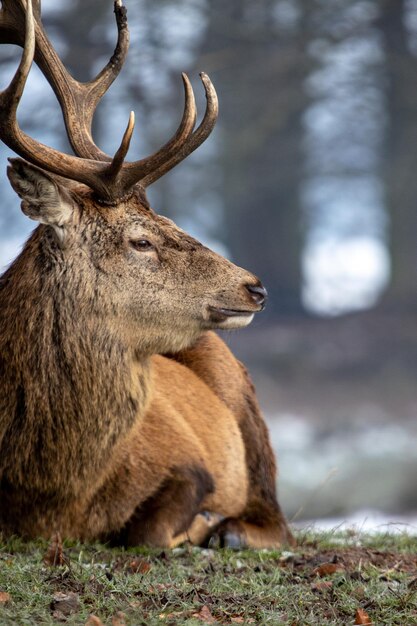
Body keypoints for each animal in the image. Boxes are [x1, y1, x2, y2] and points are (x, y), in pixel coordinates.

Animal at [0, 0, 292, 544]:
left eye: (171, 221)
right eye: (141, 241)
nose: (256, 286)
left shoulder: (190, 465)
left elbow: (150, 531)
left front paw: (200, 525)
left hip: (247, 411)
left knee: (276, 520)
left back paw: (229, 531)